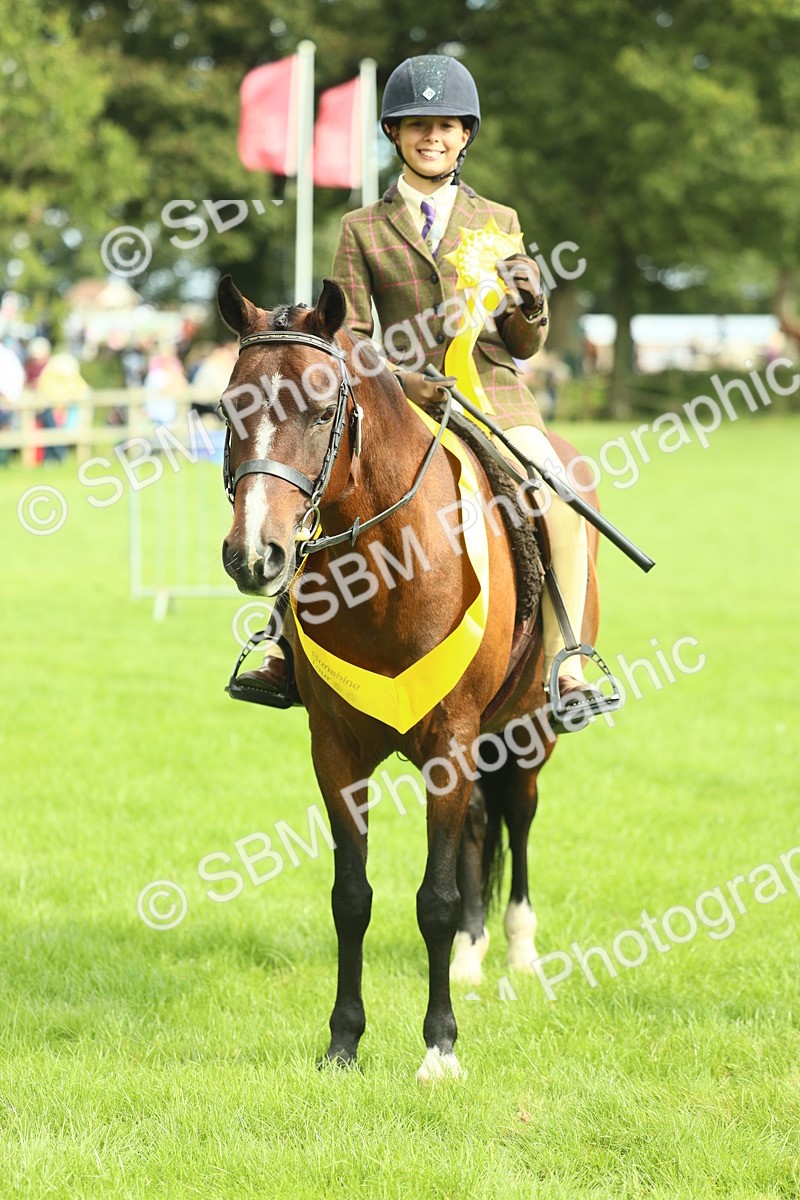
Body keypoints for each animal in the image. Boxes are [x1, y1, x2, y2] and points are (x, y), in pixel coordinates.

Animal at [217, 275, 602, 1081]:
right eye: (228, 408)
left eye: (320, 408)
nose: (254, 555)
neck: (385, 570)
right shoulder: (335, 750)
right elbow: (353, 897)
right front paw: (343, 1041)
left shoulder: (450, 742)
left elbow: (435, 899)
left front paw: (439, 1049)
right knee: (481, 829)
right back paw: (472, 955)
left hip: (527, 732)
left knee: (518, 816)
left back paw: (518, 949)